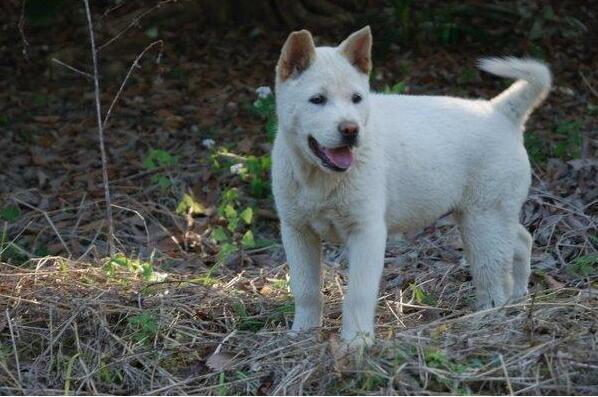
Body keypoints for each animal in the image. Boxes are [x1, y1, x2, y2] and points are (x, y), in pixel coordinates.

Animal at [272, 26, 552, 344]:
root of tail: (500, 111)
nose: (351, 130)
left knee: (492, 274)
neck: (320, 177)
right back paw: (519, 297)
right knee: (520, 241)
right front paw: (302, 333)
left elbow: (358, 293)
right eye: (317, 100)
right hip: (488, 215)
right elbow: (305, 289)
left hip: (484, 219)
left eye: (357, 98)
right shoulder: (297, 230)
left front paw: (357, 342)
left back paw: (487, 317)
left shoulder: (367, 232)